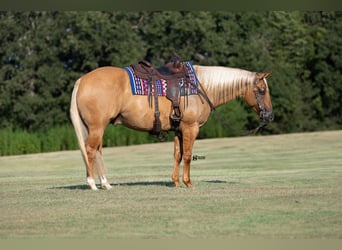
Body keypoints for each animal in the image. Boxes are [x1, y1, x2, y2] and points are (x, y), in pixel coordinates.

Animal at [69, 64, 272, 189]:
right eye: (262, 90)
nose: (269, 116)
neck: (200, 88)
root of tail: (82, 80)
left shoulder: (179, 130)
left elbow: (177, 155)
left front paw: (175, 182)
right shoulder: (191, 128)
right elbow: (188, 155)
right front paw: (188, 183)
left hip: (96, 128)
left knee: (96, 152)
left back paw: (105, 183)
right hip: (97, 127)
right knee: (90, 151)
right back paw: (92, 184)